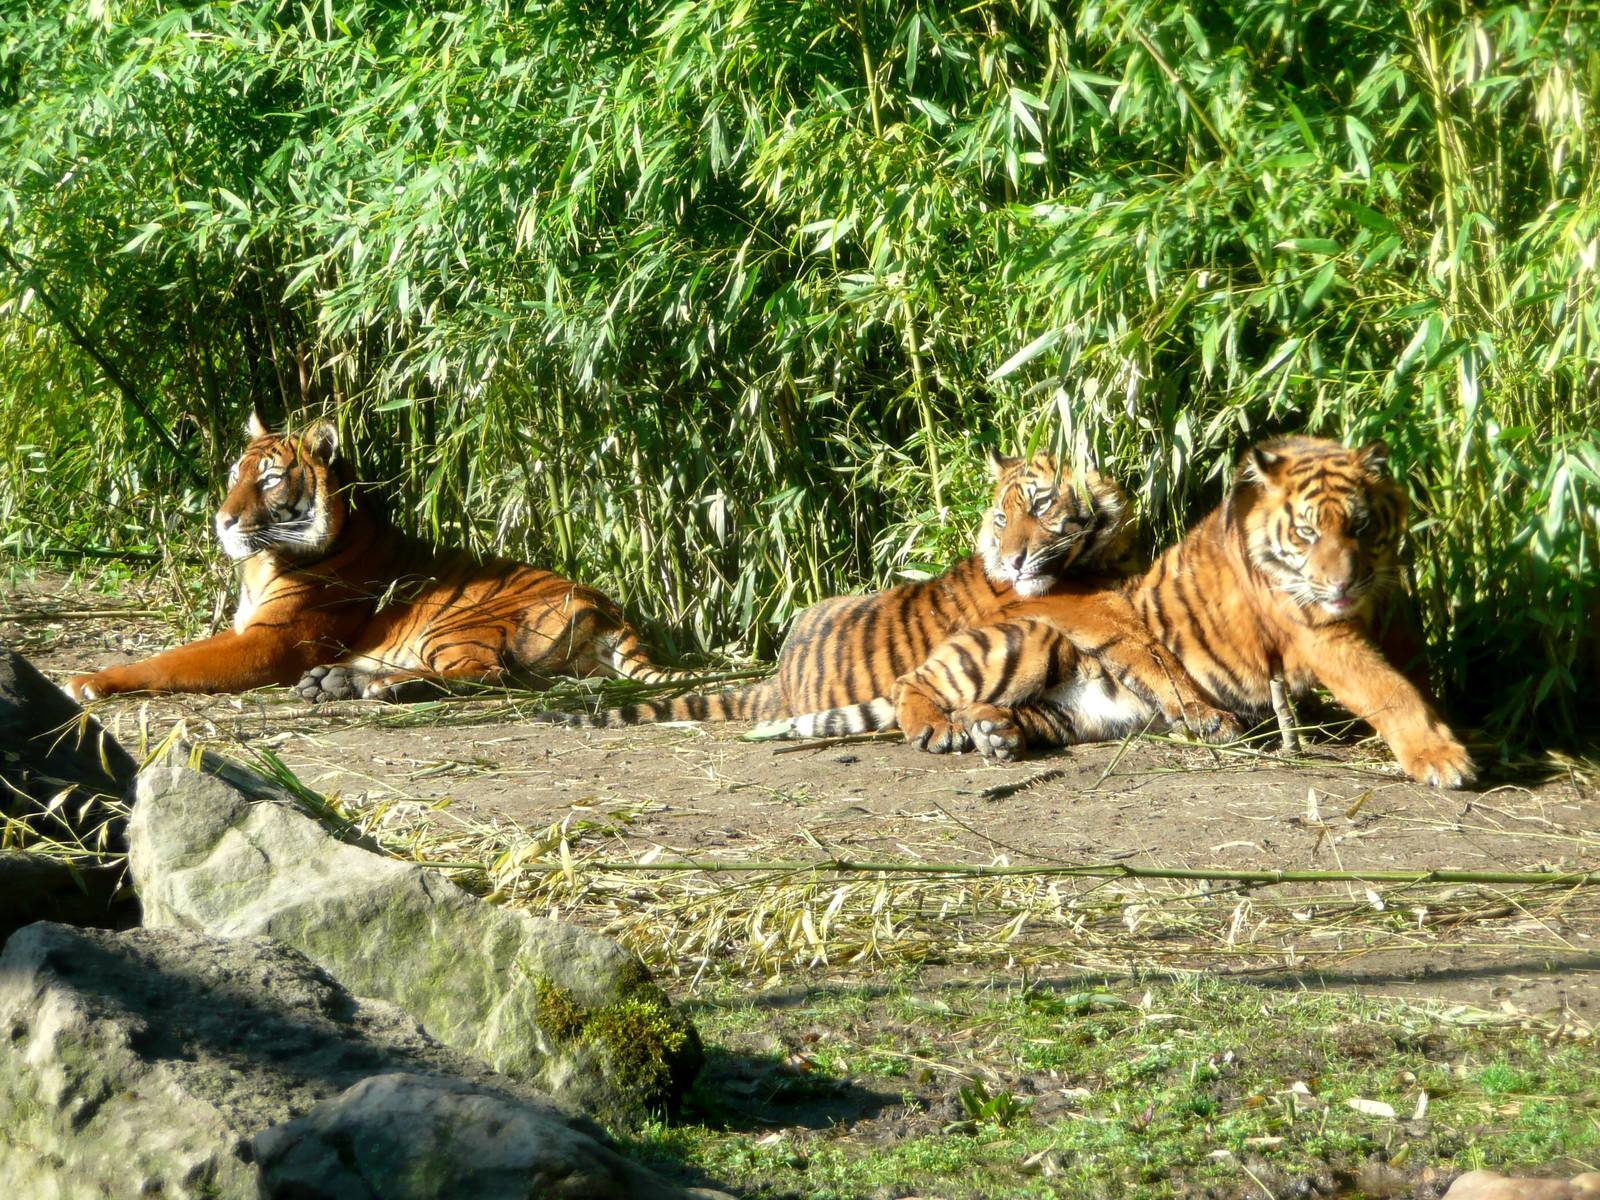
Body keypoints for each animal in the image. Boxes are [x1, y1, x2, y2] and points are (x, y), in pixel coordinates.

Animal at [66, 415, 683, 703]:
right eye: (235, 476)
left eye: (268, 481)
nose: (222, 520)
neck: (262, 564)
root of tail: (613, 611)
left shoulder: (268, 643)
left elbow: (169, 661)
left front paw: (91, 680)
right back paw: (339, 684)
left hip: (458, 626)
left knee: (487, 678)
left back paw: (374, 689)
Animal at [795, 436, 1475, 789]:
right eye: (1307, 534)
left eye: (1359, 526)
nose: (1341, 580)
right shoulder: (1317, 630)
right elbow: (1384, 687)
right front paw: (1444, 760)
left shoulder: (1389, 602)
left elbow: (1408, 672)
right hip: (1018, 644)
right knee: (914, 682)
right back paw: (938, 727)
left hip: (1073, 713)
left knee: (1015, 714)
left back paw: (992, 731)